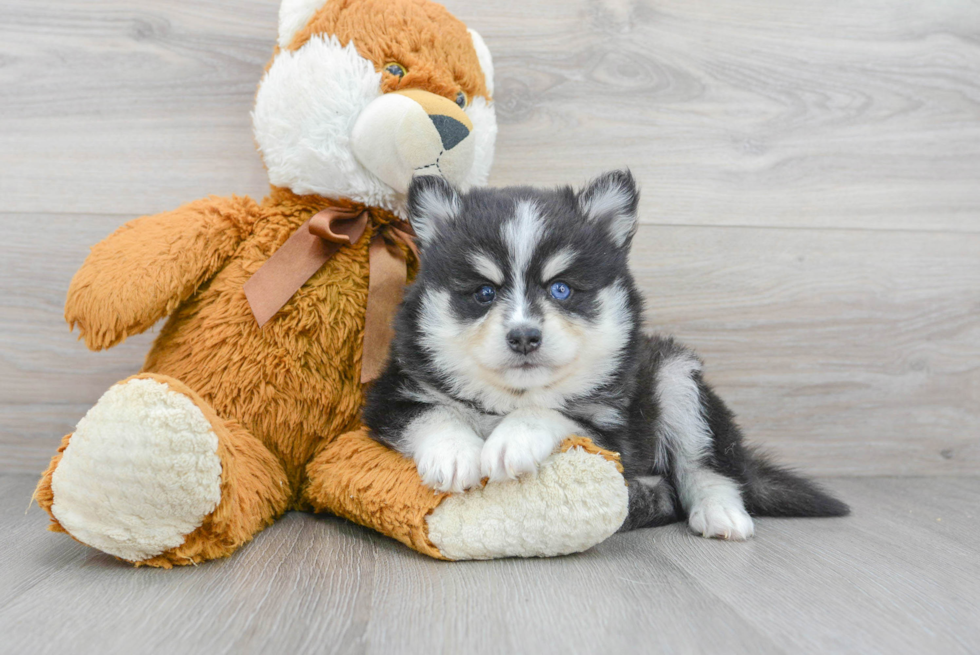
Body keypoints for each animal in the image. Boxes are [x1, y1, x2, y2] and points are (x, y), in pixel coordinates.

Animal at [364, 172, 848, 540]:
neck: (509, 398)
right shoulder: (387, 398)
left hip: (674, 376)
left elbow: (551, 413)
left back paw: (720, 513)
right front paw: (455, 453)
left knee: (705, 467)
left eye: (561, 289)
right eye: (483, 292)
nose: (524, 336)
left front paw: (512, 440)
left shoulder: (616, 431)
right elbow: (432, 413)